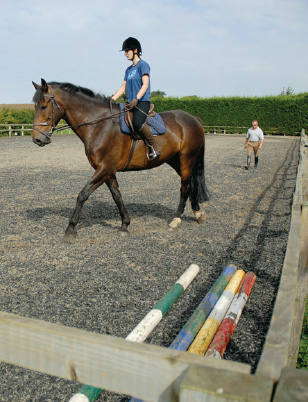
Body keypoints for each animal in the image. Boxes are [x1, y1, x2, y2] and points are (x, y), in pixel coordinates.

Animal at [31, 78, 209, 242]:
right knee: (191, 182)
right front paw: (125, 224)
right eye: (35, 106)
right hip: (174, 160)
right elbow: (117, 196)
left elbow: (83, 194)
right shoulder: (108, 170)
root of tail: (193, 119)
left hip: (187, 159)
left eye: (43, 106)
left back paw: (176, 220)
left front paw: (70, 228)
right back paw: (198, 213)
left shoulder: (105, 168)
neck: (99, 125)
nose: (37, 139)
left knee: (185, 187)